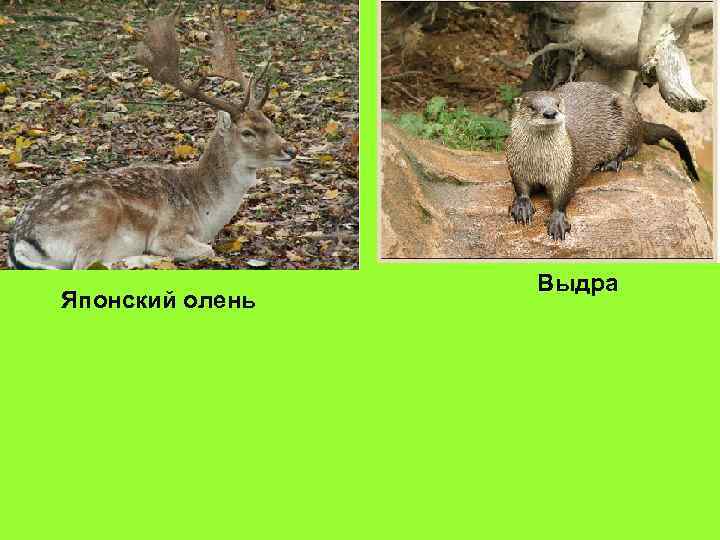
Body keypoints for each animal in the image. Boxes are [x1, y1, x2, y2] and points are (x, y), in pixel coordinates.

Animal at [7, 5, 296, 269]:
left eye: (270, 123)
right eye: (247, 132)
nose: (290, 150)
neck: (205, 211)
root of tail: (20, 241)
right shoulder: (168, 232)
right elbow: (207, 249)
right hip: (97, 219)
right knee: (88, 266)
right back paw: (144, 259)